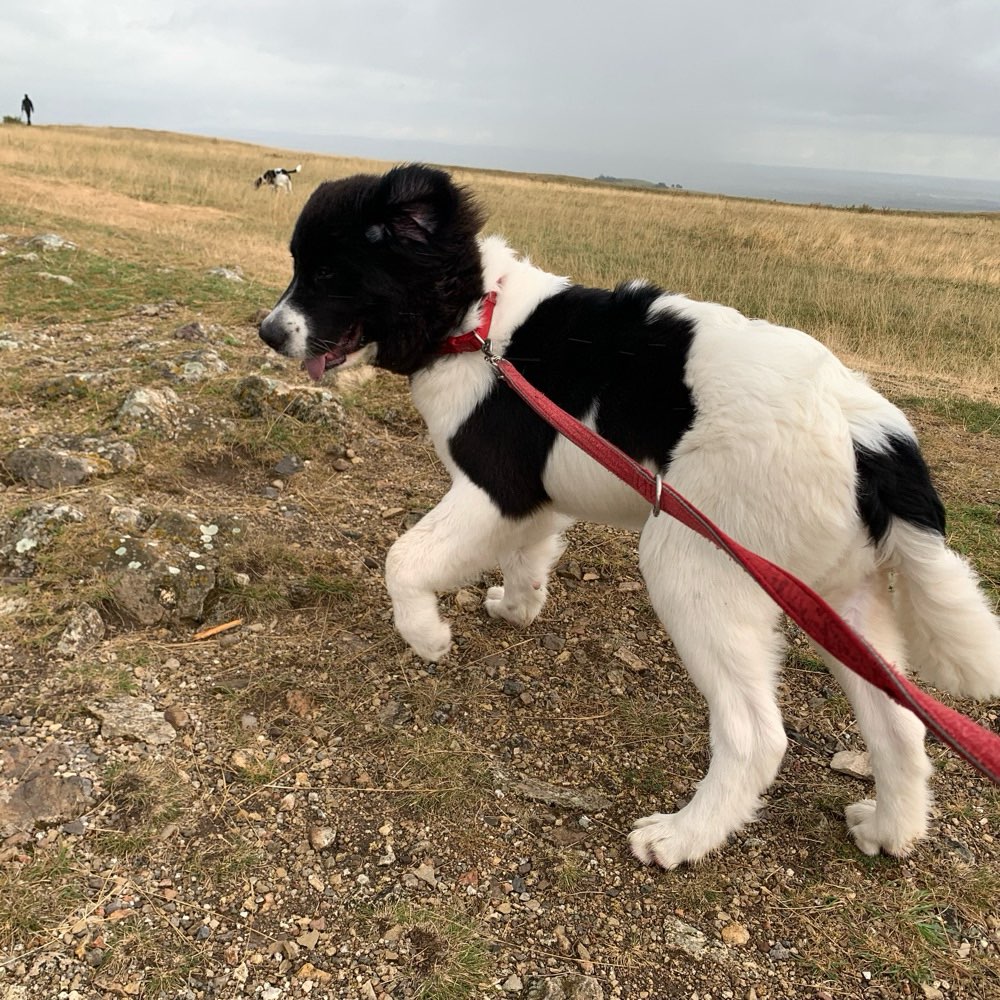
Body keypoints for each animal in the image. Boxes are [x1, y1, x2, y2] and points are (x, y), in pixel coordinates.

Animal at [262, 164, 1000, 868]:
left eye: (327, 274)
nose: (268, 332)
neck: (473, 318)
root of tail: (873, 439)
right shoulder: (535, 502)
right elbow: (526, 558)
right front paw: (515, 609)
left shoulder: (492, 487)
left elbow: (405, 558)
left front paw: (427, 636)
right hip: (837, 594)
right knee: (898, 721)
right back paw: (890, 830)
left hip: (692, 561)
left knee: (755, 734)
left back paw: (683, 838)